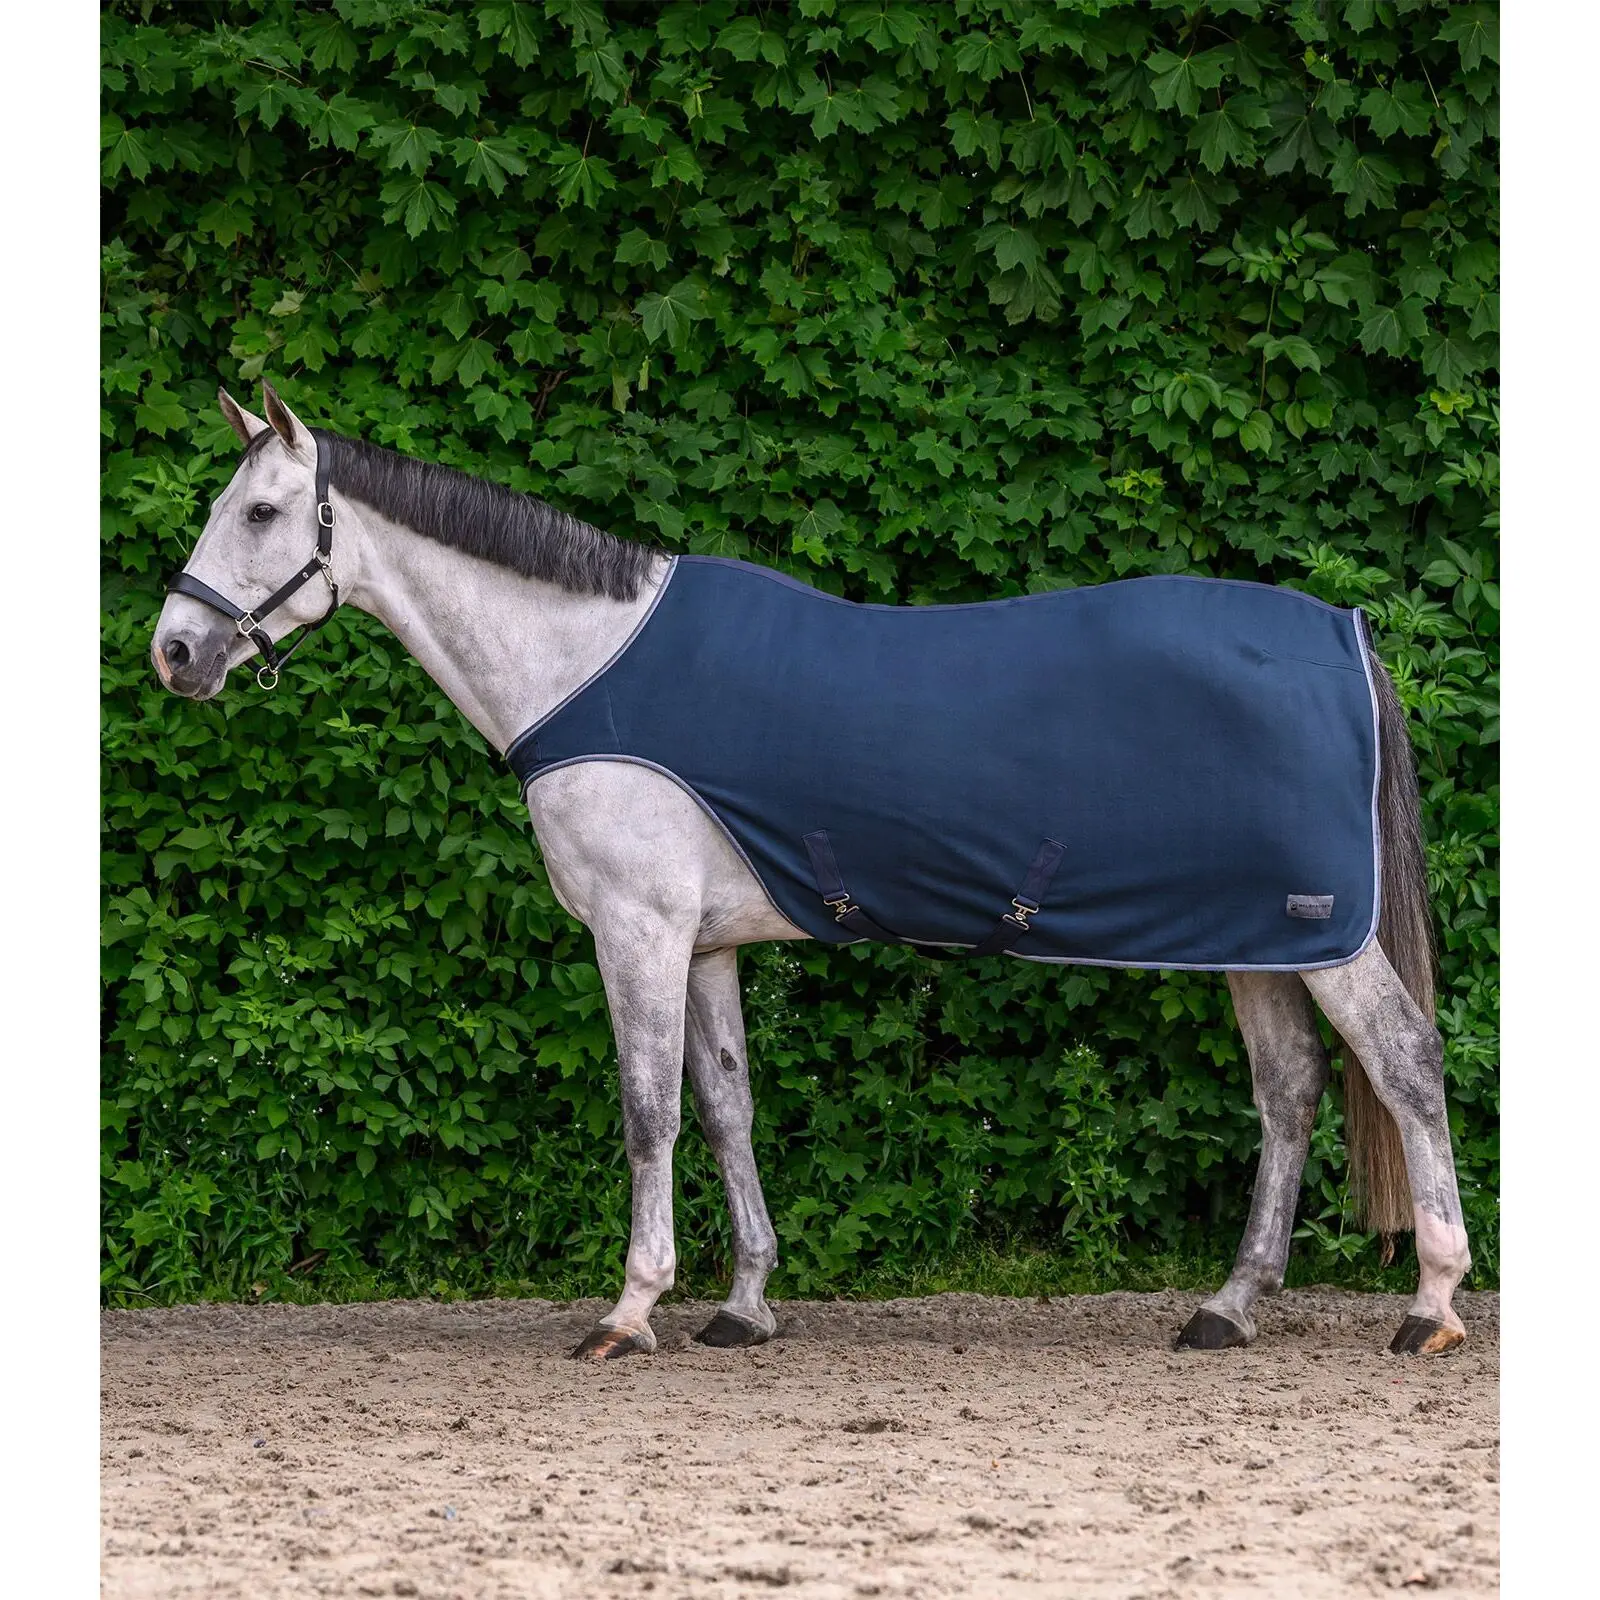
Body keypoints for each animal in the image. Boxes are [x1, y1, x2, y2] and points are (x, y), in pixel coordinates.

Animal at [149, 383, 1472, 1360]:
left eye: (260, 510)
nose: (175, 652)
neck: (584, 663)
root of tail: (1346, 633)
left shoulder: (635, 930)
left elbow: (646, 1110)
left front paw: (629, 1311)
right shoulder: (704, 941)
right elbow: (725, 1105)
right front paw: (741, 1305)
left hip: (1326, 936)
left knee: (1403, 1063)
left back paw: (1430, 1305)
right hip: (1256, 940)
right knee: (1289, 1092)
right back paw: (1227, 1307)